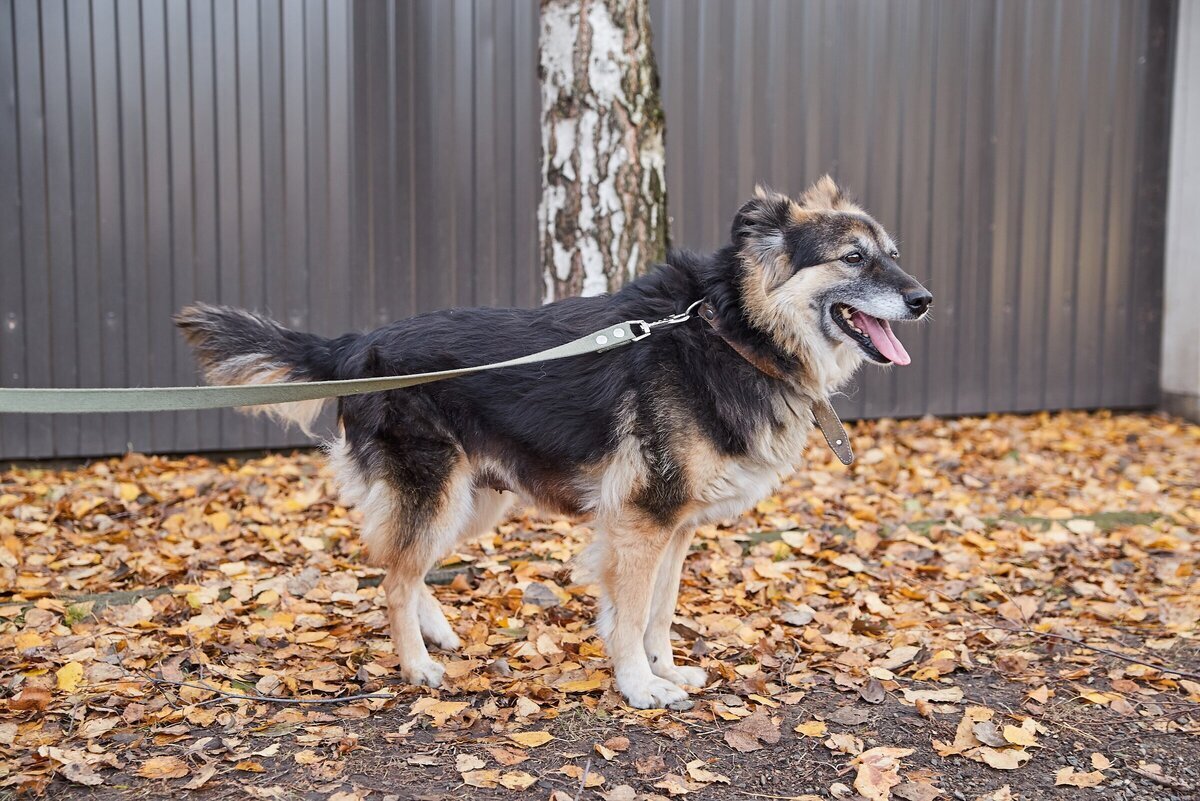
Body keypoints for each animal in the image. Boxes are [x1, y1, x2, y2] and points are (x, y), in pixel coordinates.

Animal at [175, 175, 926, 705]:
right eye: (853, 257)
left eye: (893, 255)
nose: (924, 300)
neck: (729, 329)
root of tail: (359, 345)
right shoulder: (641, 521)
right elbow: (630, 613)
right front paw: (639, 685)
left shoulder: (675, 528)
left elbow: (660, 611)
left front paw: (666, 669)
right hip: (437, 491)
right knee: (390, 576)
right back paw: (417, 665)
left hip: (475, 500)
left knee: (401, 564)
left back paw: (436, 631)